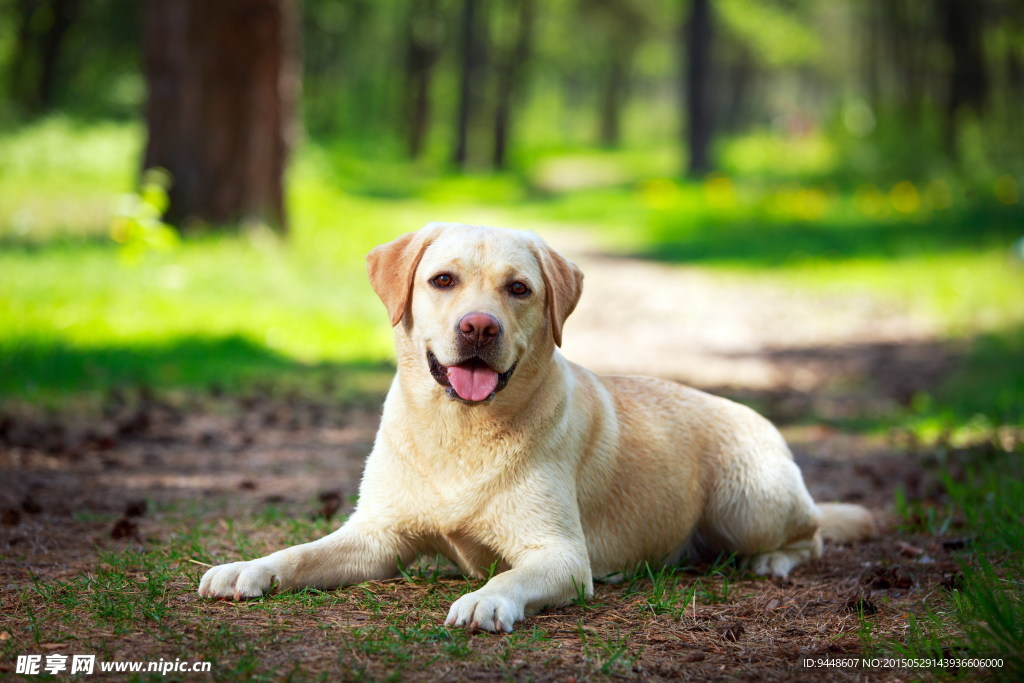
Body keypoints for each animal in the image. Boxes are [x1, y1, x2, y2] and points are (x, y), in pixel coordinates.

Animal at [197, 222, 872, 634]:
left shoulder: (560, 554)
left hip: (747, 504)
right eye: (442, 280)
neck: (459, 430)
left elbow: (512, 573)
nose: (478, 326)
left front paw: (485, 597)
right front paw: (247, 567)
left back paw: (773, 561)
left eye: (518, 289)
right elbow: (302, 552)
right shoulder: (376, 536)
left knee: (811, 534)